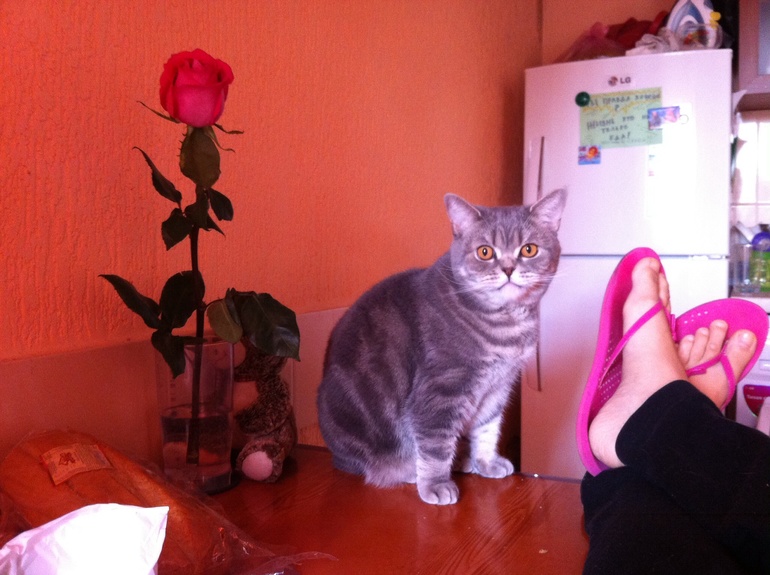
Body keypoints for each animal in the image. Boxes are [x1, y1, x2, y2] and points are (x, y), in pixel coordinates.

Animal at [316, 189, 566, 505]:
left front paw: (486, 462)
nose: (509, 268)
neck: (506, 324)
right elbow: (435, 445)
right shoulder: (441, 389)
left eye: (529, 250)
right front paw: (435, 484)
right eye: (485, 252)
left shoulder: (498, 387)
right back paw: (407, 471)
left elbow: (488, 428)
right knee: (370, 464)